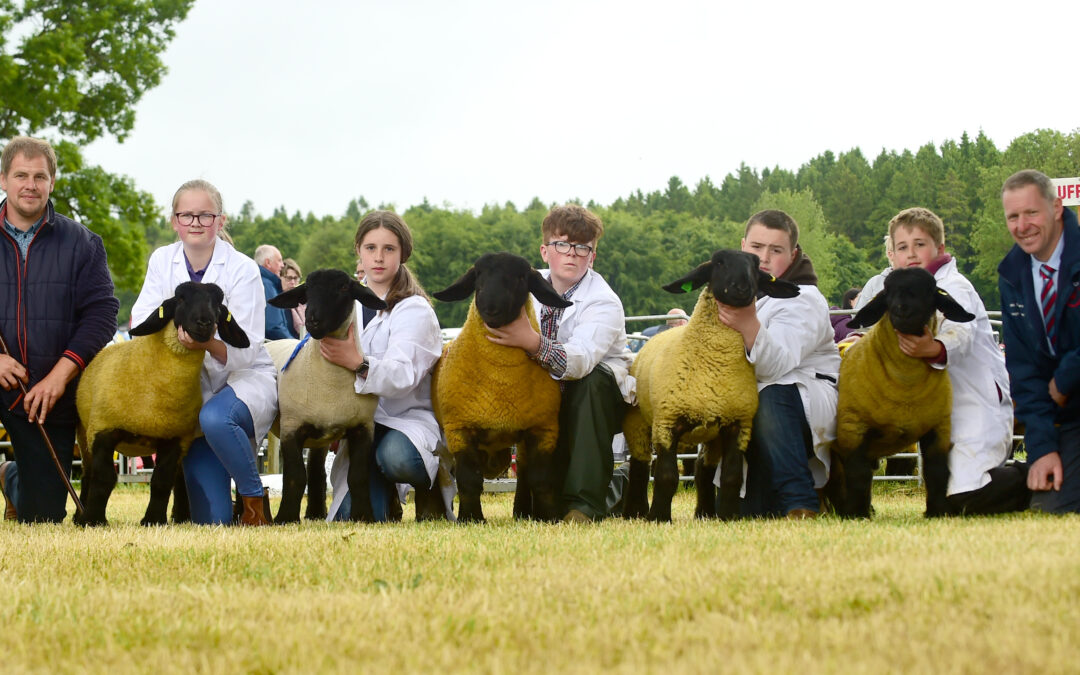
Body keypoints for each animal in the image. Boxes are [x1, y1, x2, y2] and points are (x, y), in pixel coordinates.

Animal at [76, 280, 248, 524]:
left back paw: (182, 517)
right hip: (83, 431)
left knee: (179, 478)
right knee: (87, 473)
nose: (204, 323)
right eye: (181, 298)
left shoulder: (174, 439)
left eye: (217, 303)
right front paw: (92, 520)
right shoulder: (103, 430)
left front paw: (153, 520)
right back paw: (78, 515)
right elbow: (103, 478)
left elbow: (161, 481)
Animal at [265, 266, 388, 520]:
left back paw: (315, 513)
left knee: (316, 471)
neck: (330, 382)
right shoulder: (291, 427)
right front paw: (285, 518)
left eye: (343, 287)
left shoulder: (363, 428)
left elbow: (358, 476)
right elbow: (294, 477)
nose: (312, 320)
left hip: (320, 438)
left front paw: (364, 517)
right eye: (307, 291)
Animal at [427, 252, 574, 520]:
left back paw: (523, 513)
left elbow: (541, 479)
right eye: (477, 276)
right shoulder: (460, 429)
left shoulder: (543, 429)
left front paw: (549, 517)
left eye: (522, 277)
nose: (491, 308)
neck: (501, 379)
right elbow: (468, 480)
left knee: (524, 473)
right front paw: (471, 519)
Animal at [622, 250, 799, 518]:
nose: (743, 287)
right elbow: (666, 476)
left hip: (712, 432)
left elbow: (732, 477)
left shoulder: (738, 425)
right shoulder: (667, 423)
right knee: (640, 463)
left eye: (755, 264)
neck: (715, 362)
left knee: (703, 468)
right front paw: (659, 518)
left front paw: (729, 517)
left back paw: (704, 513)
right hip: (638, 422)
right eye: (719, 262)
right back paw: (637, 511)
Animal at [829, 265, 976, 518]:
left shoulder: (938, 428)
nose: (902, 310)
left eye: (929, 290)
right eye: (887, 291)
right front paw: (856, 514)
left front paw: (938, 512)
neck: (905, 384)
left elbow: (937, 471)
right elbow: (858, 475)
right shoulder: (852, 429)